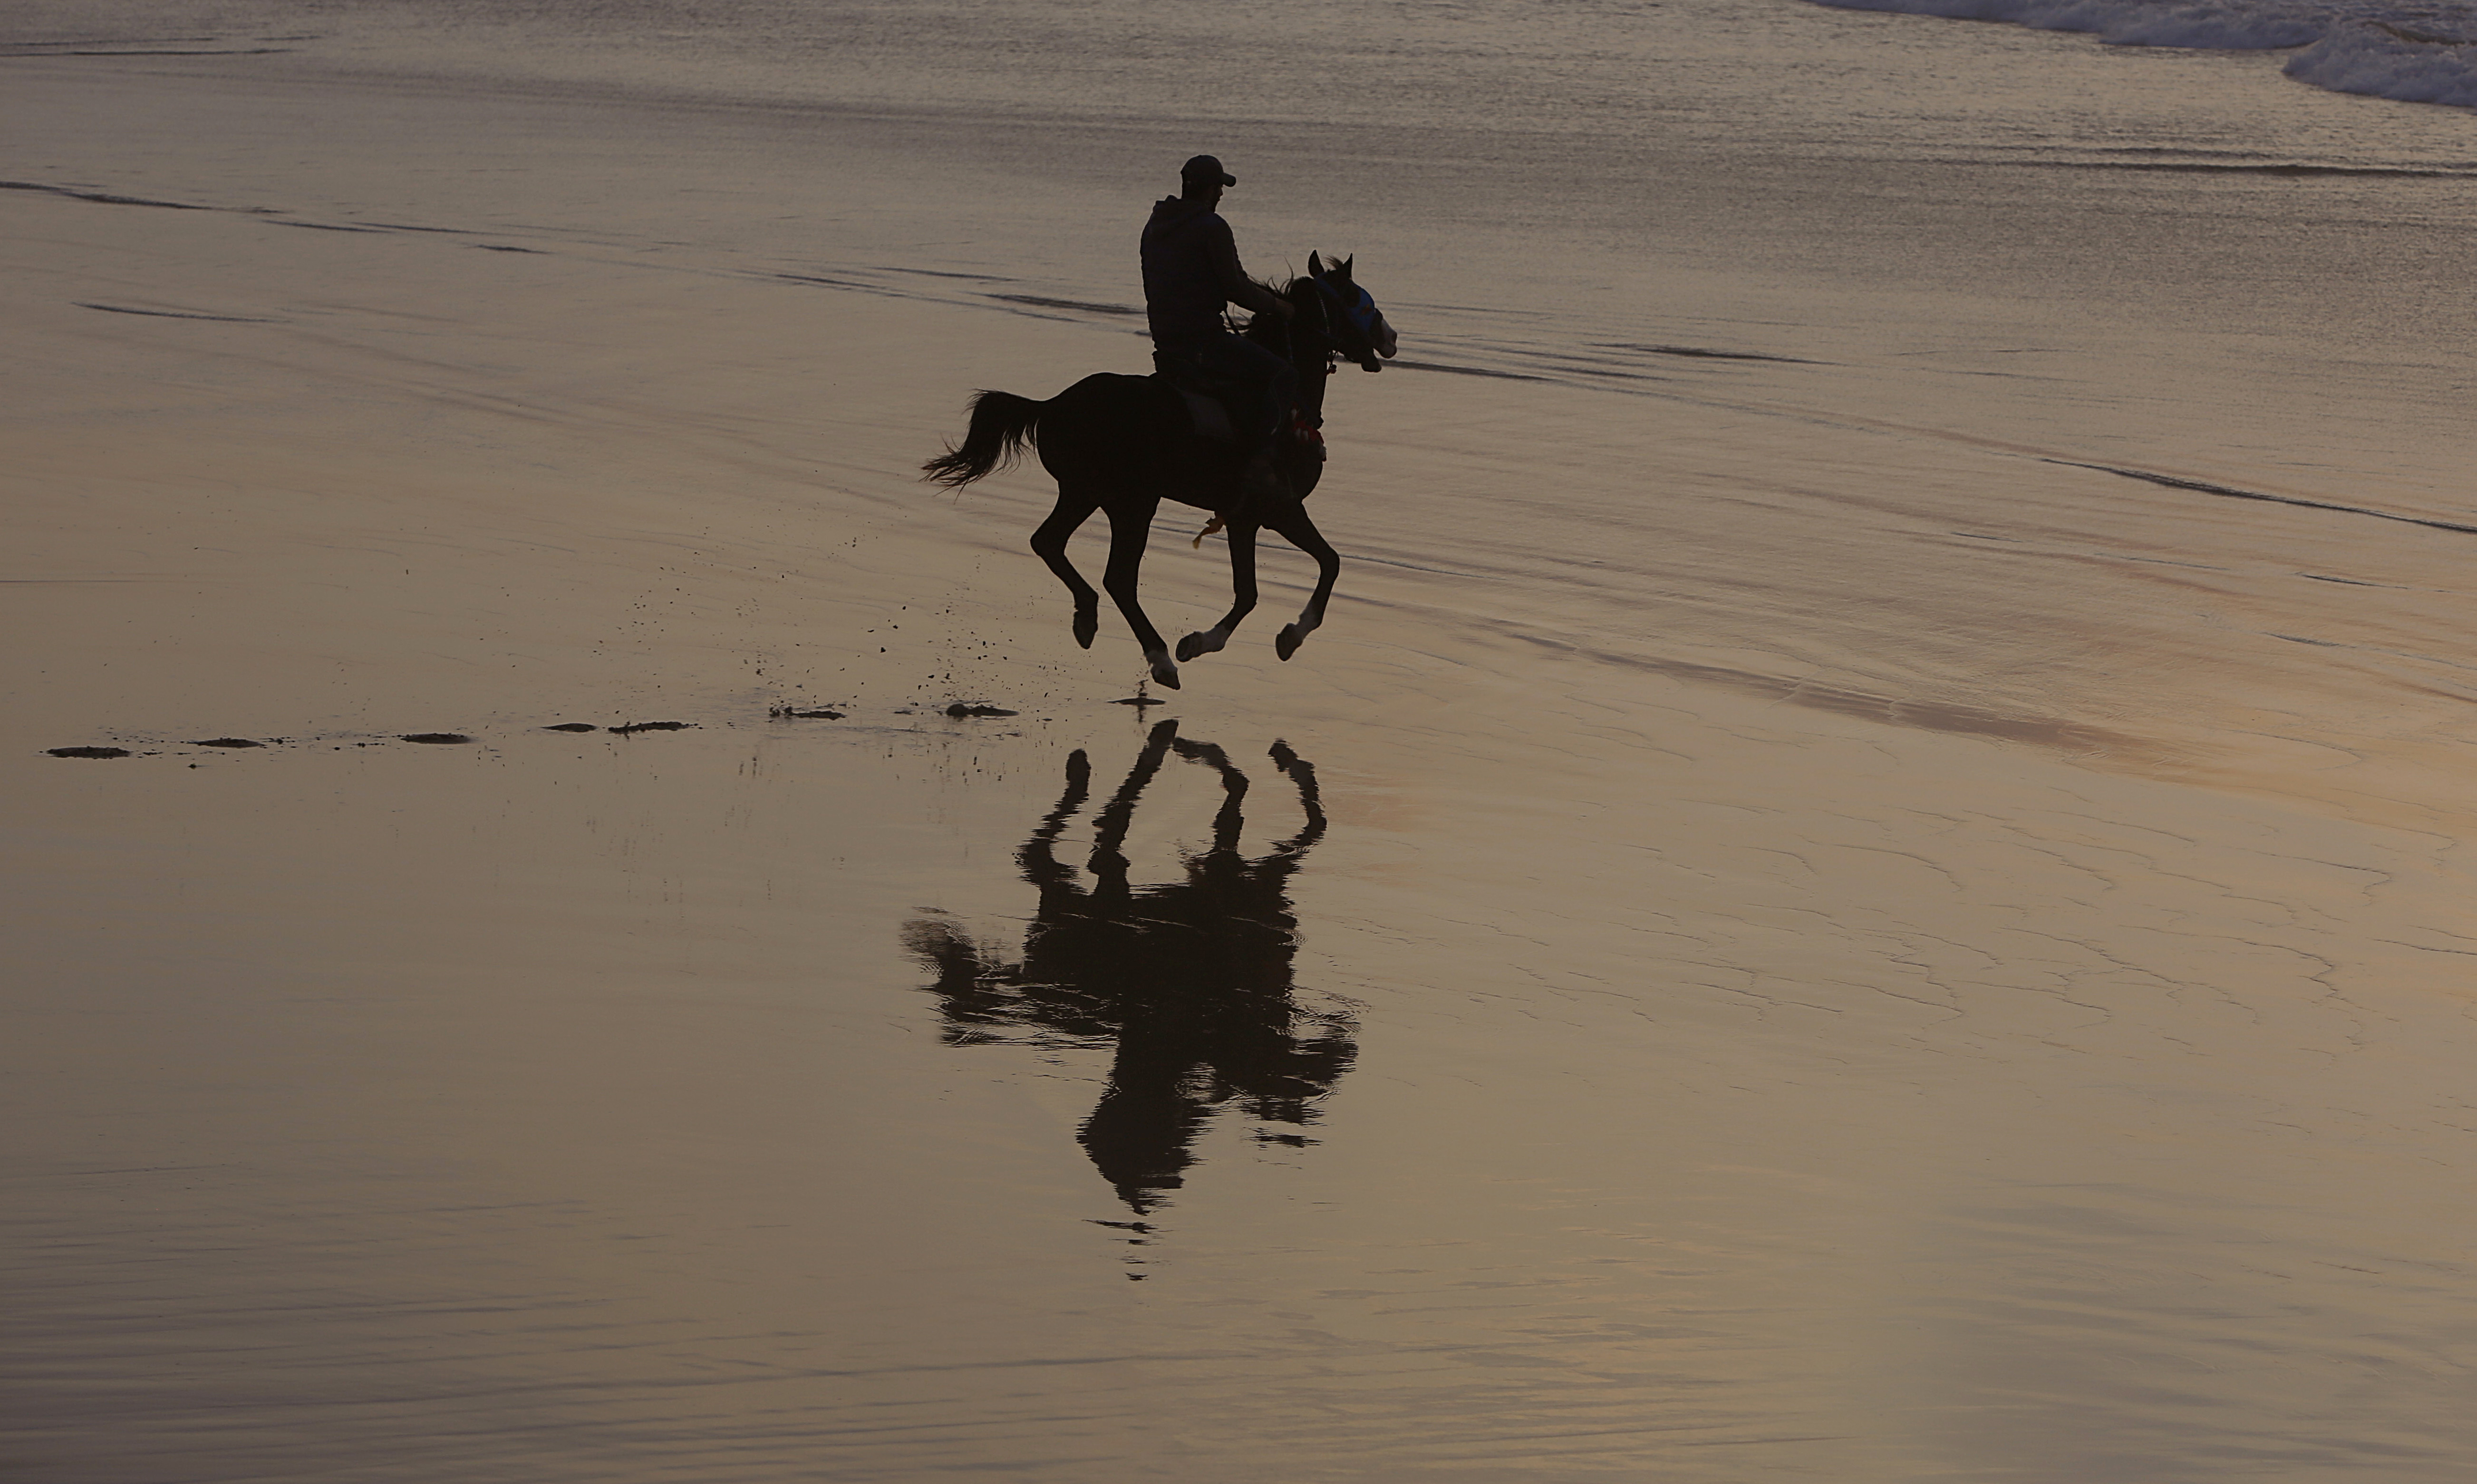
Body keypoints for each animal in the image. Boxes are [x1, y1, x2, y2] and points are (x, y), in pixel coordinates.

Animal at [926, 254, 1397, 688]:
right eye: (1358, 300)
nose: (1391, 337)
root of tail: (1053, 405)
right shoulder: (1274, 510)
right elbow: (1314, 569)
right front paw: (1276, 637)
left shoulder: (1253, 517)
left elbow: (1264, 587)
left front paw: (1215, 642)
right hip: (1133, 502)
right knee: (1118, 577)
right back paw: (1159, 658)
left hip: (1085, 493)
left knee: (1049, 542)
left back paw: (1088, 618)